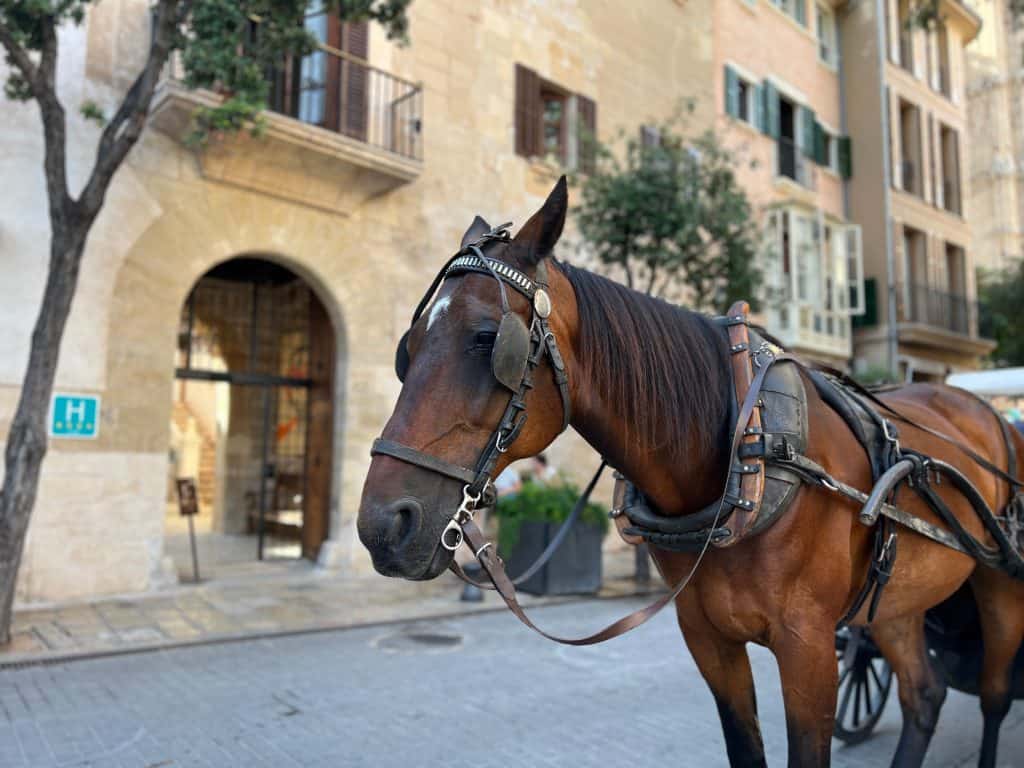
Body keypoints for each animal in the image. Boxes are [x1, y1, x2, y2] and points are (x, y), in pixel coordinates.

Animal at [357, 176, 1024, 767]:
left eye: (488, 339)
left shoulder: (808, 649)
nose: (383, 526)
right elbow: (745, 749)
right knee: (924, 694)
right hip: (895, 603)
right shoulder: (708, 639)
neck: (746, 453)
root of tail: (985, 411)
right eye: (407, 349)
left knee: (993, 697)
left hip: (999, 584)